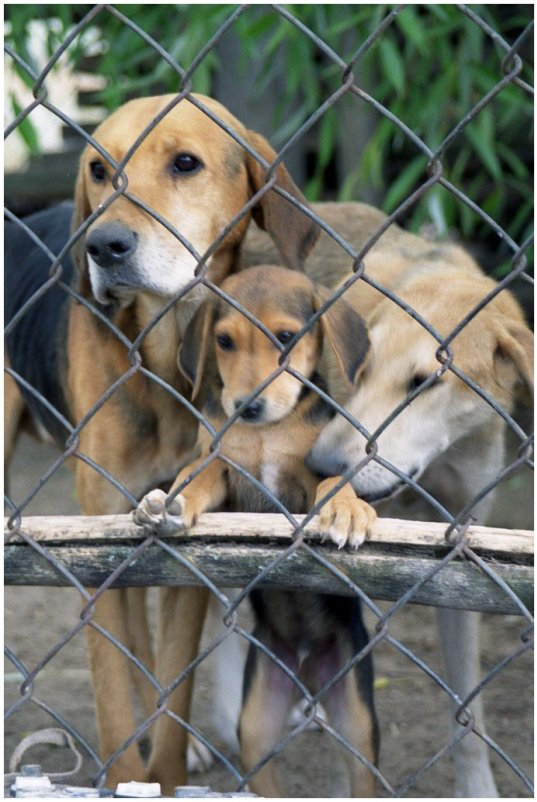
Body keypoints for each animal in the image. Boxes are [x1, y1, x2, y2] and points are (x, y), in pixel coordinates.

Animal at [4, 92, 318, 788]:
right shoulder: (92, 545)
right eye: (98, 169)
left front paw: (165, 770)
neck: (160, 354)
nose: (103, 245)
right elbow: (112, 698)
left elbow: (171, 689)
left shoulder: (183, 538)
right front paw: (126, 772)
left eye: (185, 163)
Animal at [134, 264, 376, 792]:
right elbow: (200, 474)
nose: (246, 406)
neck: (267, 432)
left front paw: (347, 509)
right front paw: (173, 501)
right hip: (259, 717)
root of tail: (306, 663)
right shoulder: (227, 476)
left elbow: (331, 479)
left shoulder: (304, 474)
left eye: (286, 338)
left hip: (357, 719)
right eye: (224, 341)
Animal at [243, 200, 532, 792]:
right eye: (359, 368)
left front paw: (476, 788)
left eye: (424, 382)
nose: (321, 467)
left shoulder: (461, 551)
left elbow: (469, 712)